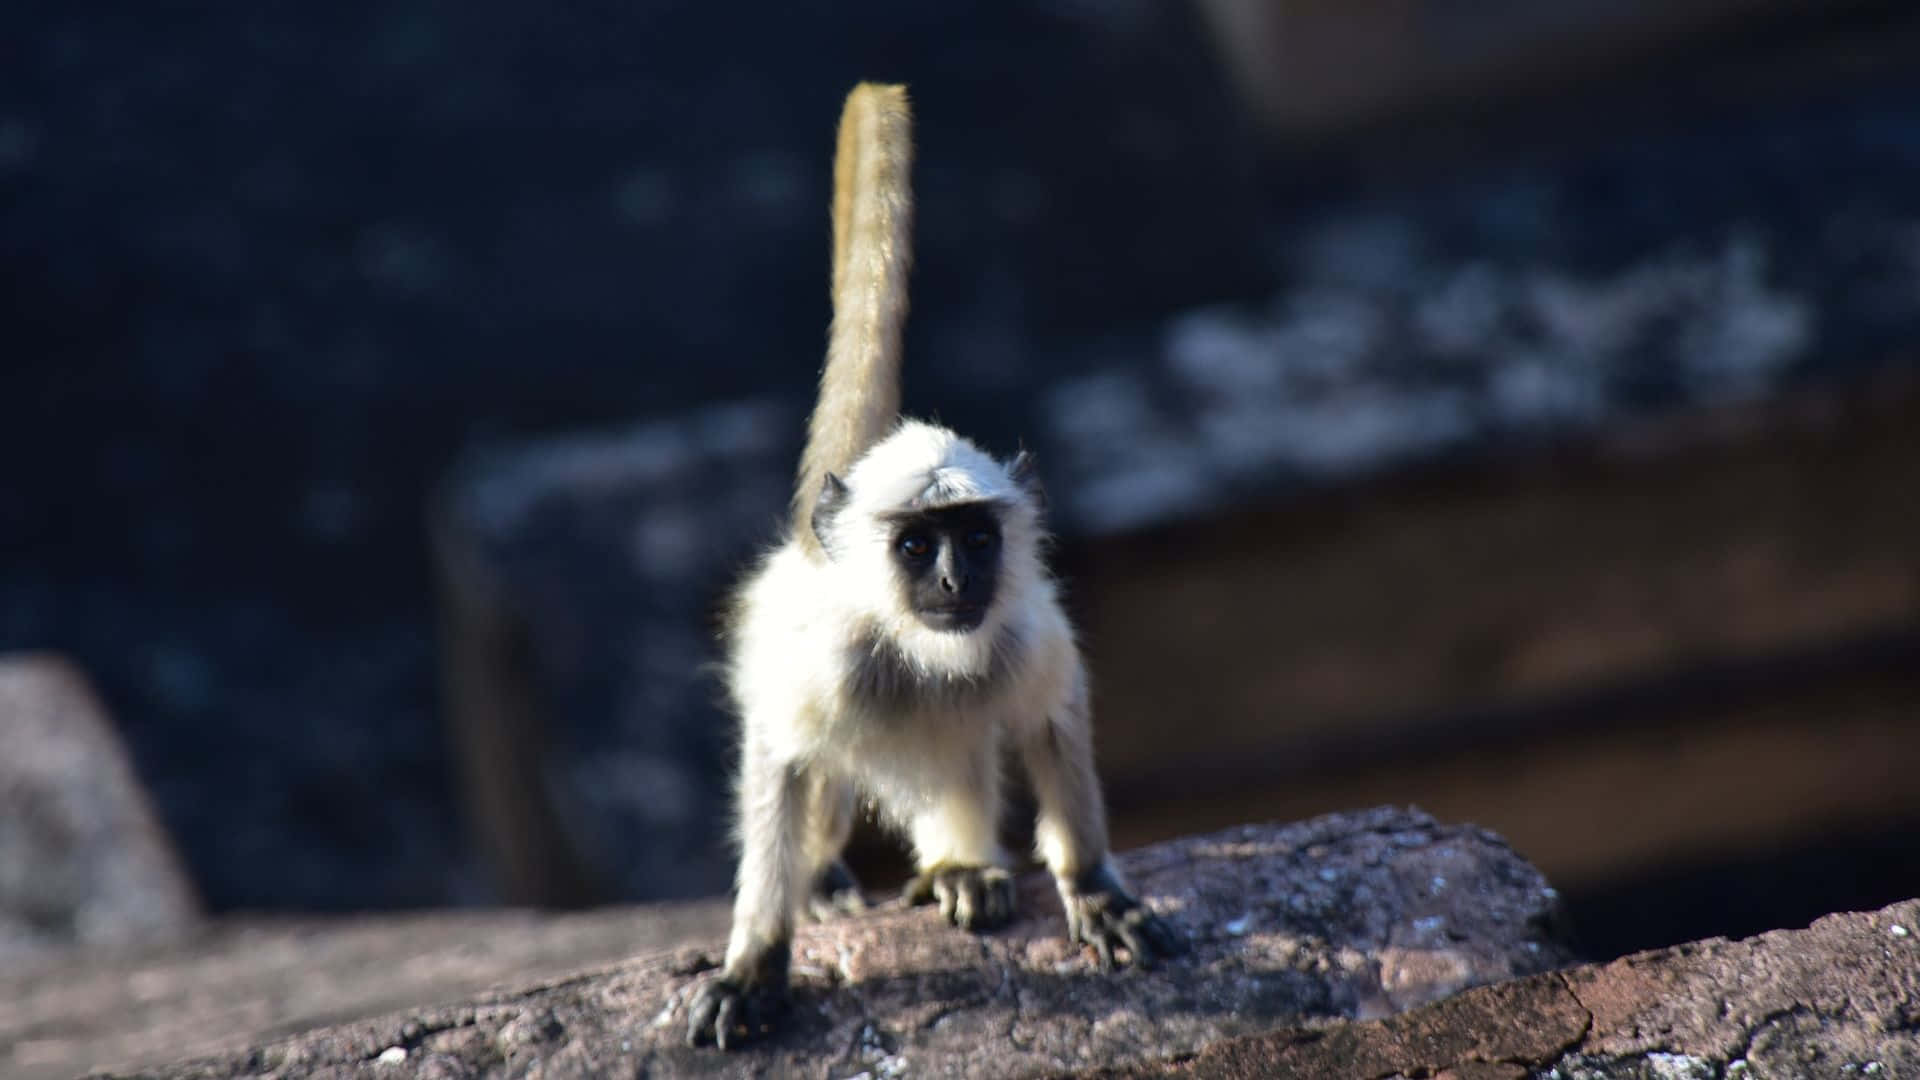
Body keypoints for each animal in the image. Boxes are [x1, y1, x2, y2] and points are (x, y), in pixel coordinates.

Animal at [686, 83, 1184, 1051]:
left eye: (976, 539)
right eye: (918, 545)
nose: (955, 582)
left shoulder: (1024, 633)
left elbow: (1054, 717)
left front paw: (1092, 883)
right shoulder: (822, 665)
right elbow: (779, 765)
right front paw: (756, 958)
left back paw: (960, 866)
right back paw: (835, 879)